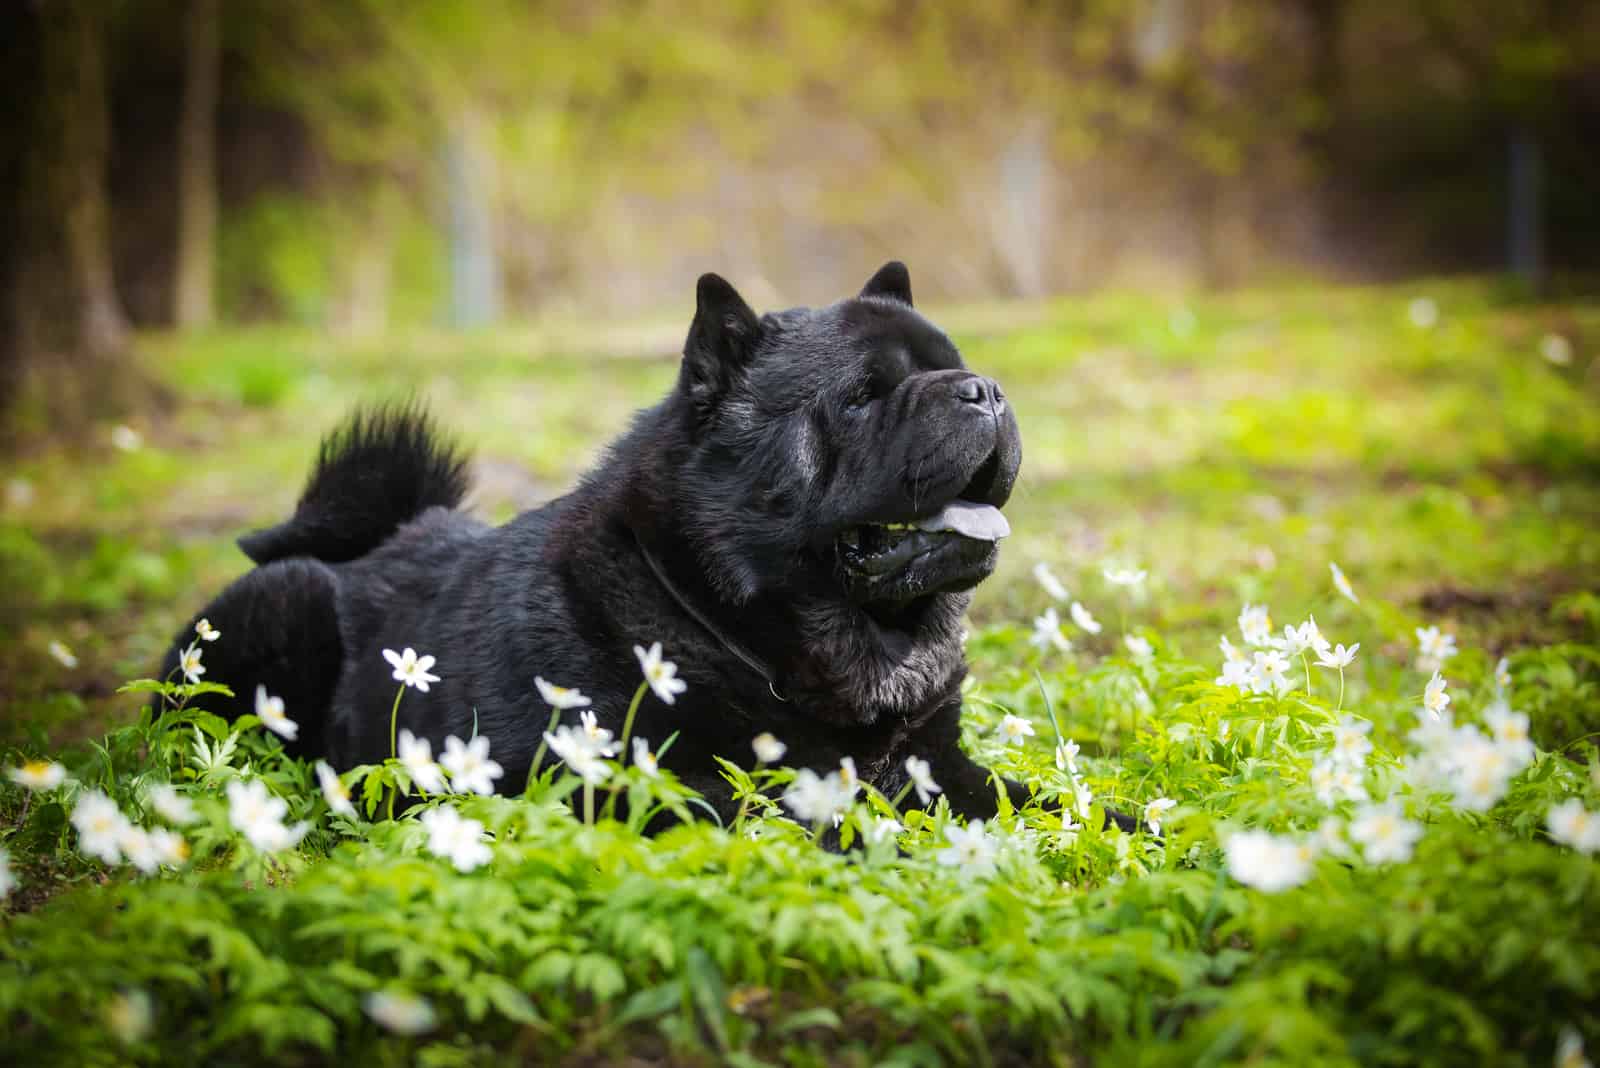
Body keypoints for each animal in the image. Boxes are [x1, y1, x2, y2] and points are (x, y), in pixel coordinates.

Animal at [168, 265, 1056, 824]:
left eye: (960, 367)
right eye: (863, 397)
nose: (984, 391)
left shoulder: (942, 763)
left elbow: (1041, 801)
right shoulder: (611, 780)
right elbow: (782, 808)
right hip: (287, 608)